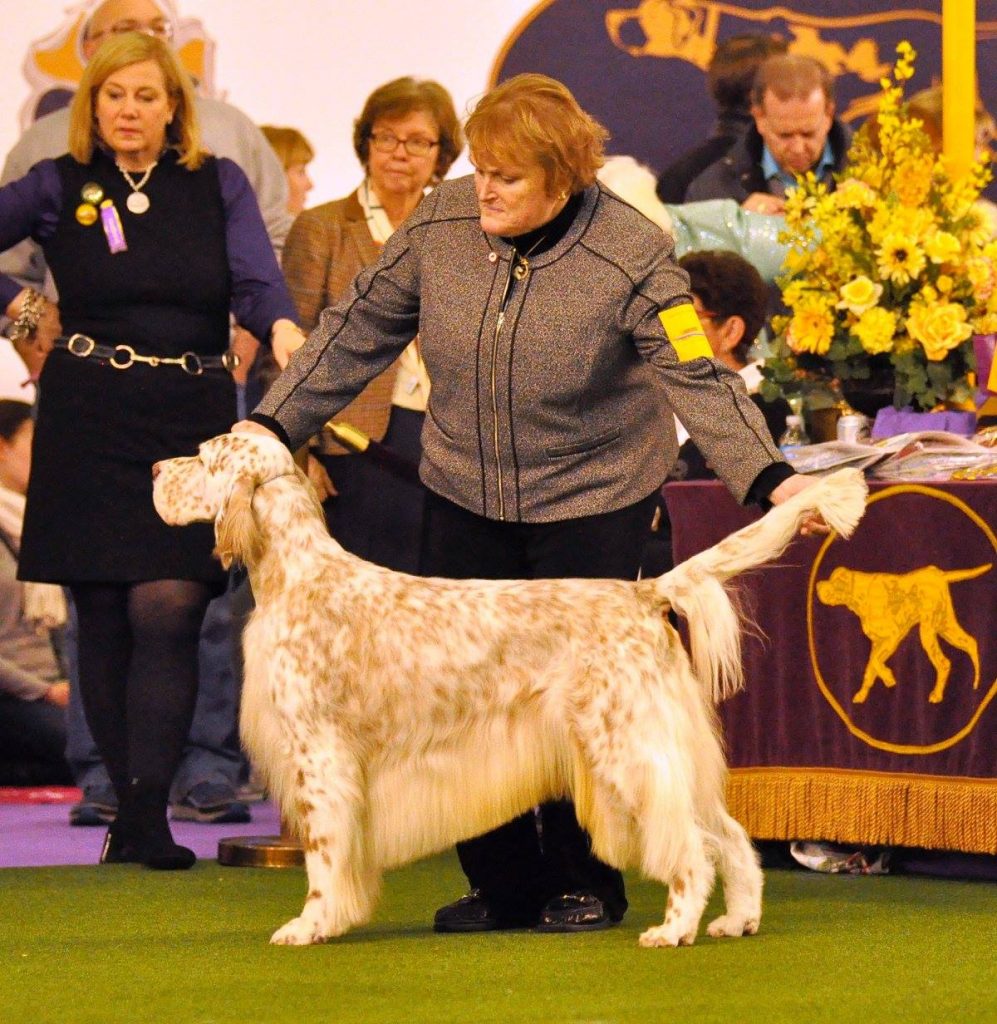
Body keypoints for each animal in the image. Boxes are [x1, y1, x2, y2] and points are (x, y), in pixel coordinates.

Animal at [150, 432, 868, 942]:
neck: (300, 573)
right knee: (731, 838)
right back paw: (736, 919)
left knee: (690, 849)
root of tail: (642, 591)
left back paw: (673, 929)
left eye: (204, 455)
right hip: (668, 749)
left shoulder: (321, 756)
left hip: (627, 750)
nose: (155, 469)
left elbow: (324, 858)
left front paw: (311, 924)